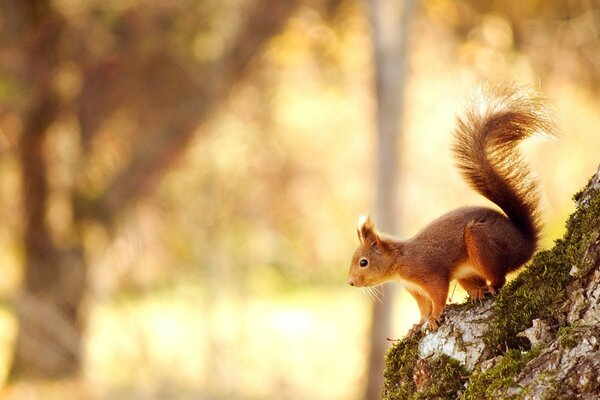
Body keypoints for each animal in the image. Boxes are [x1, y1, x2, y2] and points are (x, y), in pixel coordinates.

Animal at [350, 83, 556, 332]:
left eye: (363, 262)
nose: (350, 282)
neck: (400, 262)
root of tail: (525, 244)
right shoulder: (415, 290)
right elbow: (423, 307)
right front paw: (417, 325)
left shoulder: (429, 274)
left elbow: (438, 296)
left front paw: (435, 317)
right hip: (466, 273)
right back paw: (477, 291)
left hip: (481, 241)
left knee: (500, 278)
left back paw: (489, 287)